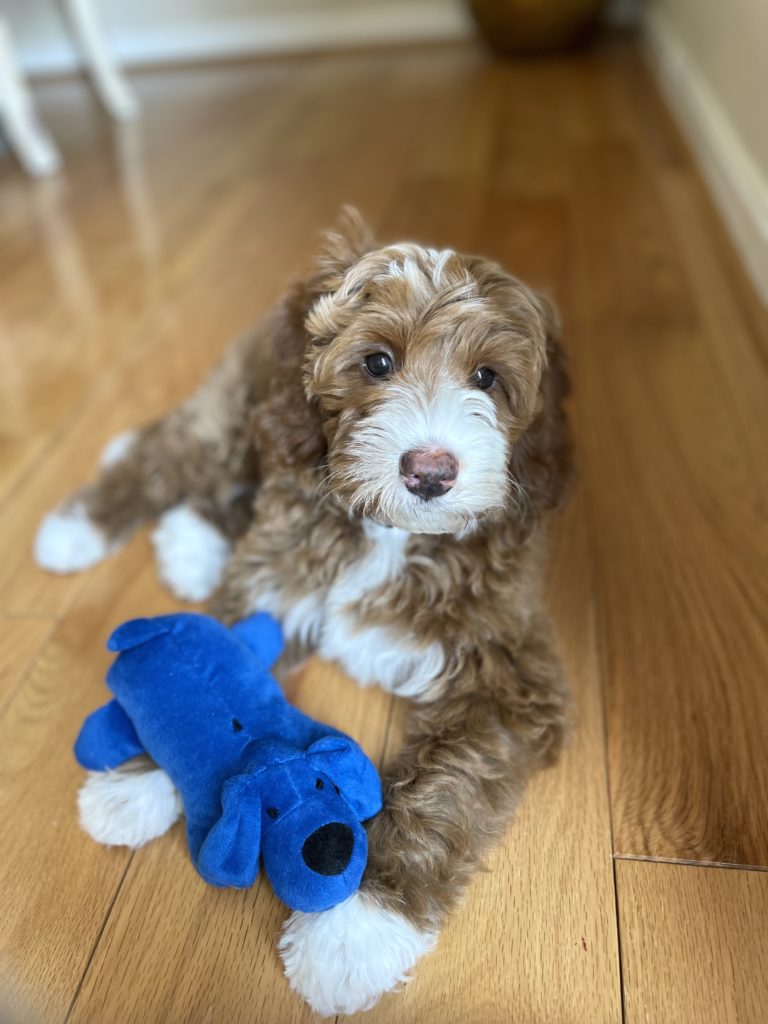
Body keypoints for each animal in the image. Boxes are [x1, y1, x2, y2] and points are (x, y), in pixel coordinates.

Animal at [39, 207, 573, 1015]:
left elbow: (447, 789)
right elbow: (203, 678)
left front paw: (355, 931)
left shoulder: (507, 676)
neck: (390, 534)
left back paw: (191, 542)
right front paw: (138, 780)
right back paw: (78, 530)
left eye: (488, 378)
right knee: (174, 451)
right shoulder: (278, 576)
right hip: (245, 411)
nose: (430, 471)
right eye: (377, 363)